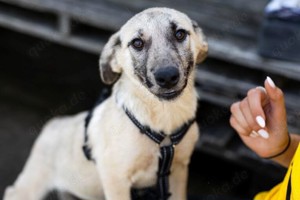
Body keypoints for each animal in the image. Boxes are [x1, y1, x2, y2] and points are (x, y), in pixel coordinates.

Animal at [3, 7, 207, 199]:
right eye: (137, 43)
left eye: (180, 34)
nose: (167, 77)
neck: (163, 122)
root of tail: (53, 123)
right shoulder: (116, 181)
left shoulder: (179, 171)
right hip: (31, 183)